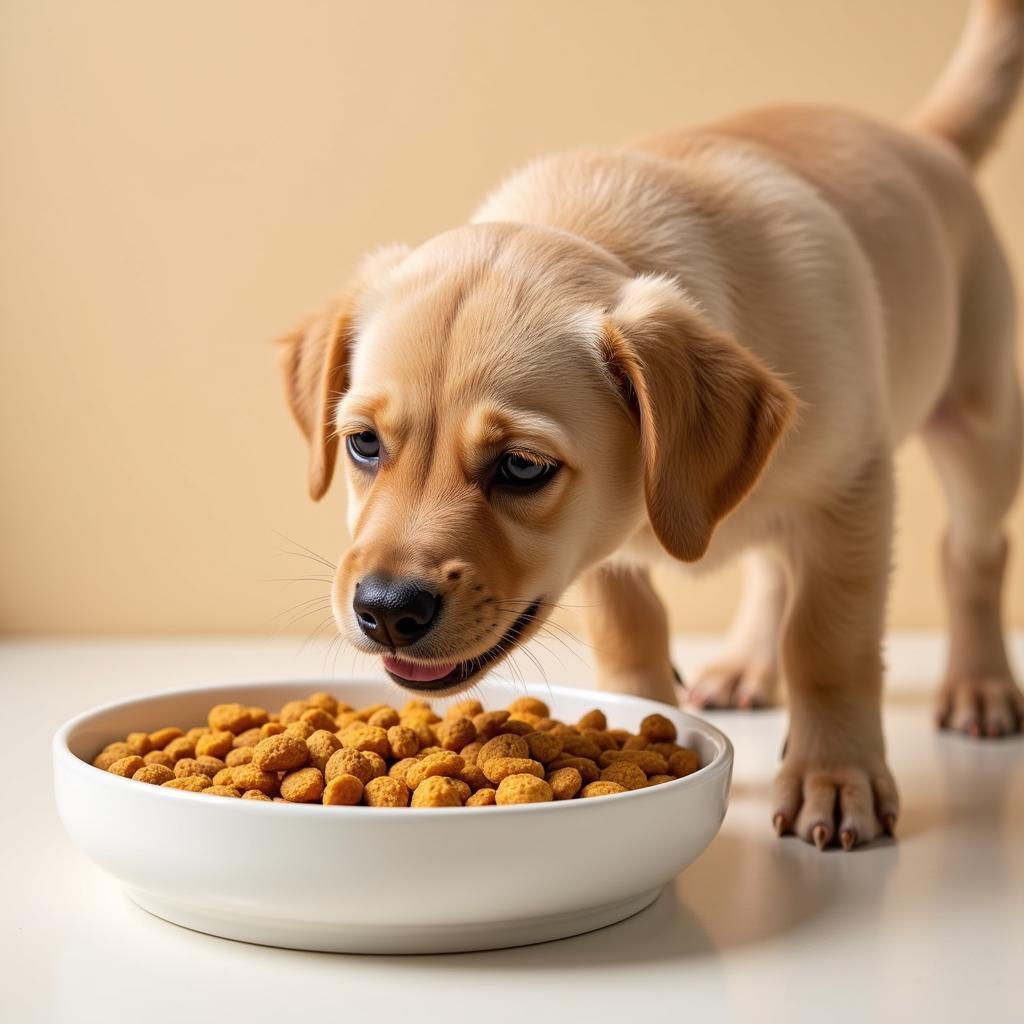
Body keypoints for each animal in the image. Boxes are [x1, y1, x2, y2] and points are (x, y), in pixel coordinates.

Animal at [278, 0, 1024, 847]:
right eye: (364, 445)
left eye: (522, 467)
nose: (385, 613)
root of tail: (924, 140)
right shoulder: (607, 547)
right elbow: (631, 623)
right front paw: (638, 718)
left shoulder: (852, 492)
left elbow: (827, 641)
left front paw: (837, 777)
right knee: (775, 566)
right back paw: (744, 665)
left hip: (979, 422)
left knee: (971, 551)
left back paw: (981, 684)